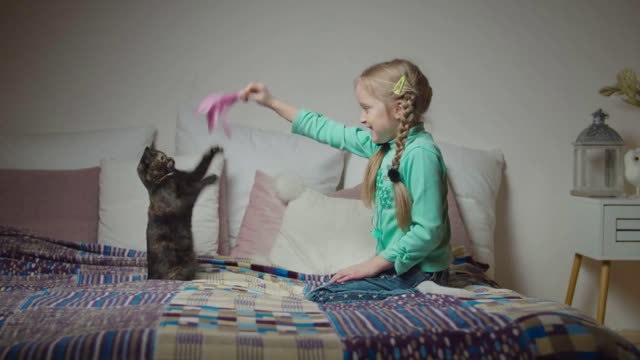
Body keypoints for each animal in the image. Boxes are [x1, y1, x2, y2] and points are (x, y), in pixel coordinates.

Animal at [136, 145, 224, 280]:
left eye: (163, 154)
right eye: (162, 157)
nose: (172, 159)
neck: (166, 178)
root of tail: (150, 277)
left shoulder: (189, 177)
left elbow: (201, 165)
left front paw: (213, 150)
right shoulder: (183, 200)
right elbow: (197, 186)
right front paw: (211, 178)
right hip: (186, 264)